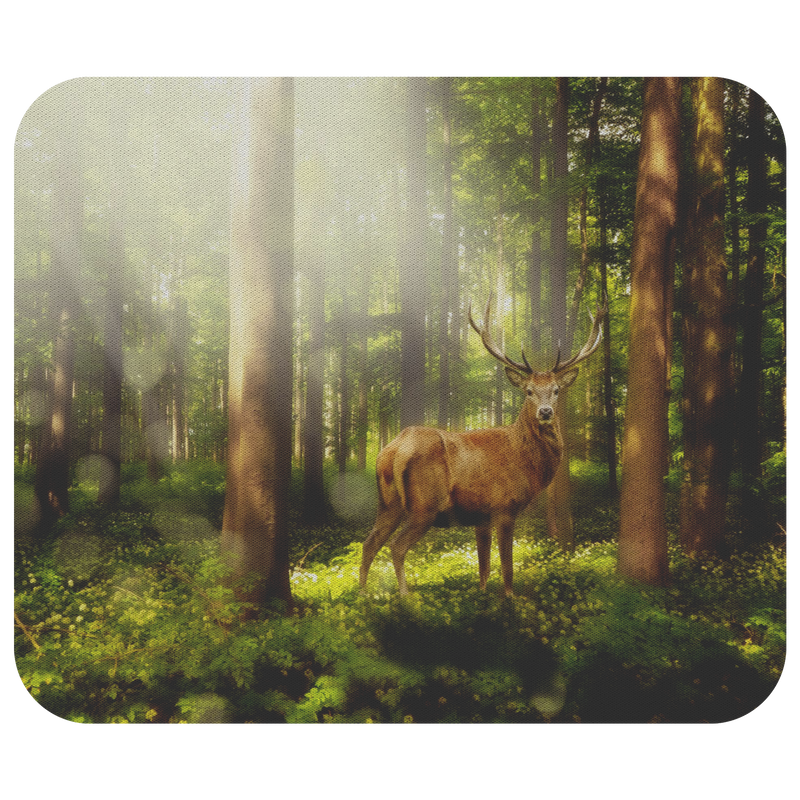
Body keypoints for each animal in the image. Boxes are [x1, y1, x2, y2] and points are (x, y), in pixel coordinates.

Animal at [360, 293, 607, 597]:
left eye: (556, 390)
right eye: (529, 391)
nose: (546, 412)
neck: (526, 462)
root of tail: (394, 449)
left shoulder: (481, 517)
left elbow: (483, 568)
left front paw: (482, 595)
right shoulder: (504, 506)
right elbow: (507, 567)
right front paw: (509, 599)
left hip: (387, 503)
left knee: (369, 543)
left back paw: (361, 595)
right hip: (424, 505)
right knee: (397, 546)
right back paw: (405, 597)